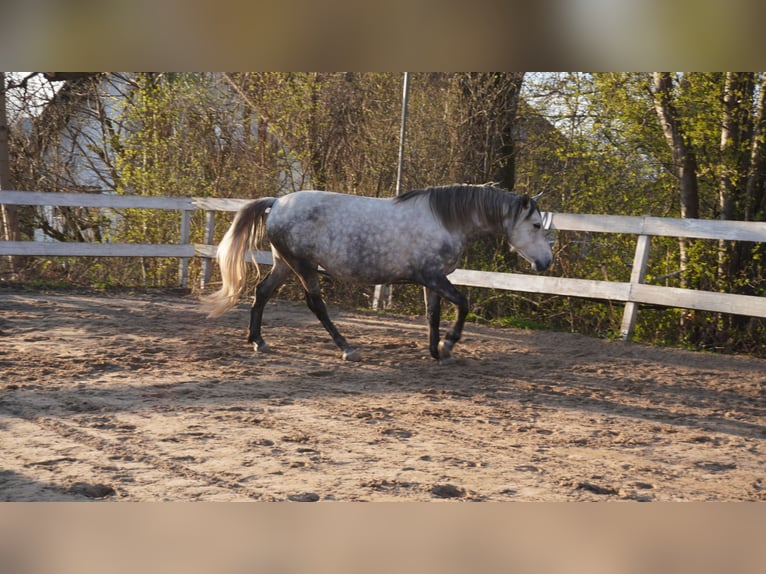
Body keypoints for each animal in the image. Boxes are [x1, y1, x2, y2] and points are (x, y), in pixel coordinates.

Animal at [204, 184, 552, 364]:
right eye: (536, 225)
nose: (546, 262)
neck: (445, 220)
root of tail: (277, 202)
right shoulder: (434, 277)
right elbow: (463, 304)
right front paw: (449, 345)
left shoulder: (432, 280)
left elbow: (433, 316)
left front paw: (435, 352)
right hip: (302, 267)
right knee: (316, 305)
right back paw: (347, 348)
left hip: (284, 265)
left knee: (262, 293)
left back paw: (258, 341)